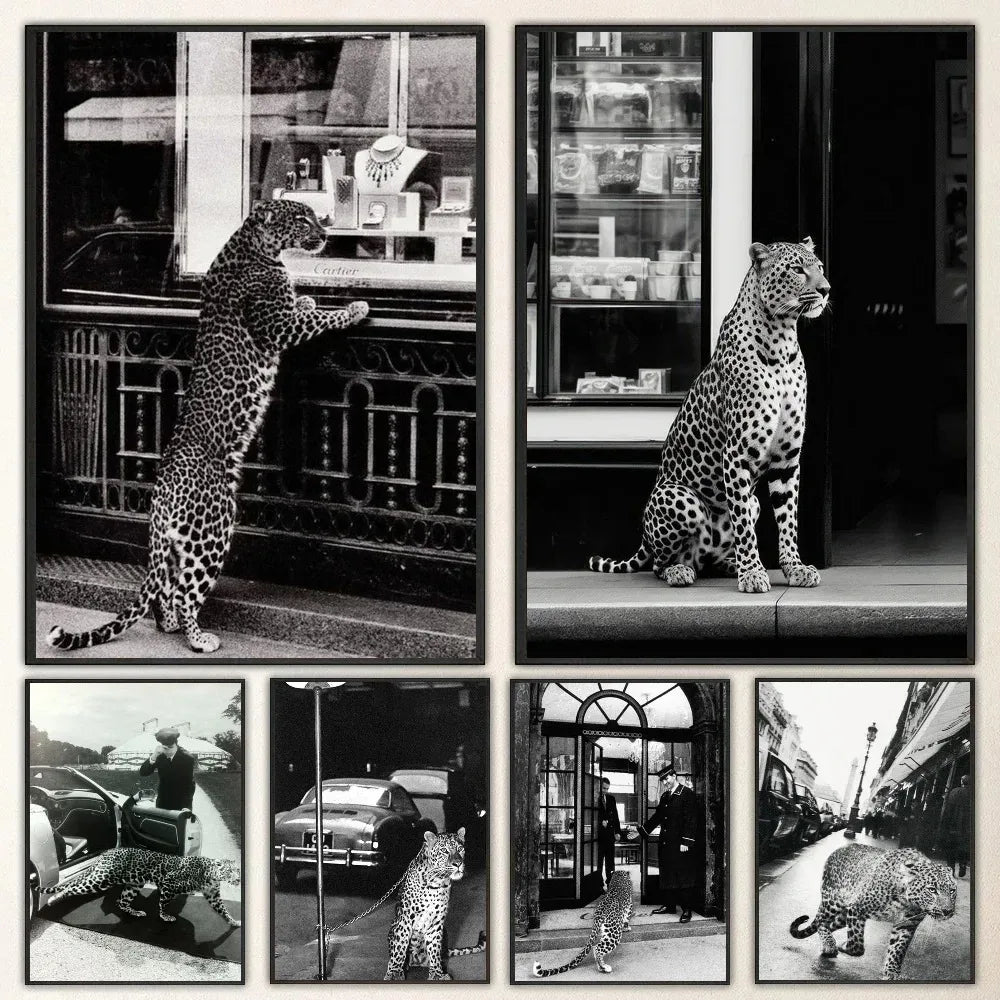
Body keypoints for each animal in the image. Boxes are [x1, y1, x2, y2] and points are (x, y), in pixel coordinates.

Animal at [38, 847, 241, 927]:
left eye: (238, 870)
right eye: (230, 871)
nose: (238, 879)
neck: (212, 877)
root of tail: (107, 852)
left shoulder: (213, 895)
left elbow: (223, 910)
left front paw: (234, 922)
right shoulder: (168, 884)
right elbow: (163, 904)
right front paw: (165, 917)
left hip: (133, 884)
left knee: (121, 902)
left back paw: (136, 912)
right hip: (102, 879)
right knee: (73, 888)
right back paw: (53, 899)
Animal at [46, 199, 369, 653]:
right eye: (302, 218)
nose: (324, 235)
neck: (256, 245)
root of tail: (161, 497)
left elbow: (302, 308)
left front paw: (306, 298)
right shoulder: (277, 326)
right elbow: (321, 319)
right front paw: (352, 309)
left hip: (177, 544)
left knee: (166, 587)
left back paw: (169, 625)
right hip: (211, 532)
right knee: (186, 591)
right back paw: (199, 638)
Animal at [589, 238, 830, 594]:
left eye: (820, 268)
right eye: (798, 269)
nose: (826, 289)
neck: (783, 340)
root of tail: (644, 539)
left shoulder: (787, 460)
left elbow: (788, 519)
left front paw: (794, 568)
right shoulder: (737, 455)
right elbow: (743, 526)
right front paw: (753, 574)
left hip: (749, 506)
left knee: (708, 558)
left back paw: (729, 565)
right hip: (680, 498)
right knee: (660, 564)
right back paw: (680, 571)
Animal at [789, 844, 957, 980]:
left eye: (952, 891)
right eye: (932, 890)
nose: (947, 911)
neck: (907, 901)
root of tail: (840, 849)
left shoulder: (907, 924)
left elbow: (898, 950)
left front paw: (892, 972)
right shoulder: (857, 909)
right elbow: (856, 944)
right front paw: (844, 945)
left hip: (843, 915)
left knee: (828, 924)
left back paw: (829, 943)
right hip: (833, 902)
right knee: (821, 921)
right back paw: (830, 945)